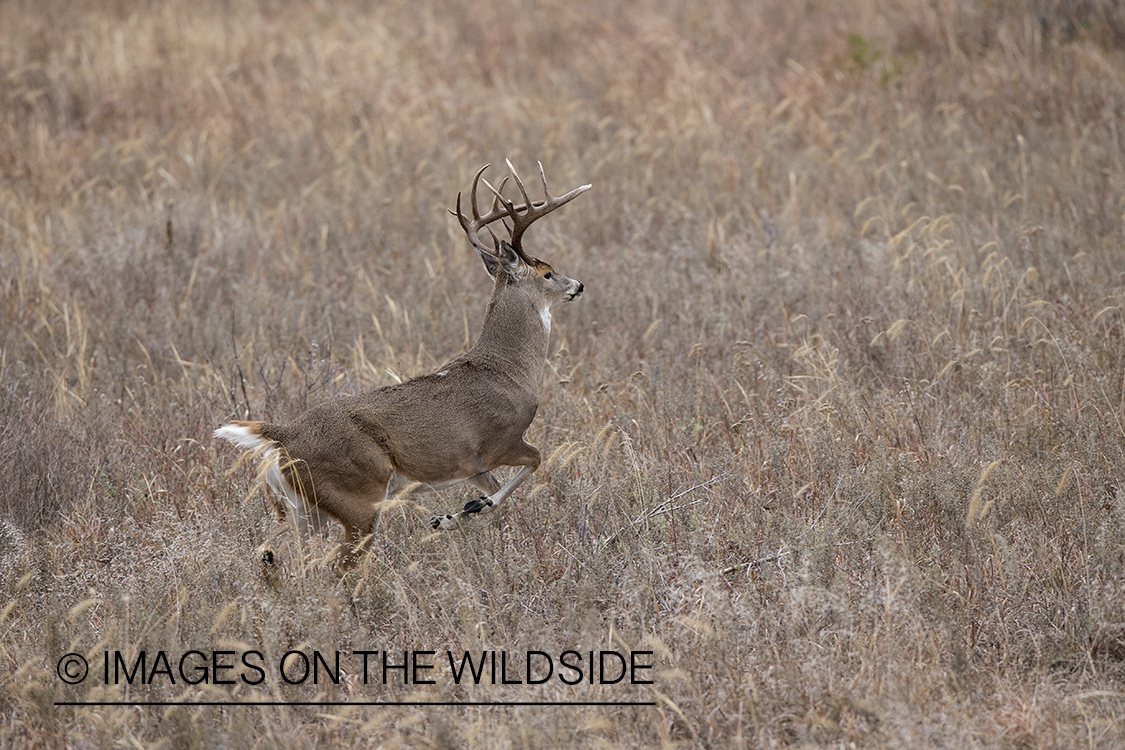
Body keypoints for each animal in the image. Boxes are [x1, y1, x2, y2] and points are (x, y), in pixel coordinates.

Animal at [210, 158, 589, 568]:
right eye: (547, 272)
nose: (578, 285)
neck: (510, 368)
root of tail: (283, 436)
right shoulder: (499, 441)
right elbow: (535, 461)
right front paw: (462, 511)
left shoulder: (471, 466)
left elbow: (495, 492)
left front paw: (454, 515)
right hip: (357, 498)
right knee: (338, 564)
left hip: (298, 508)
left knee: (269, 553)